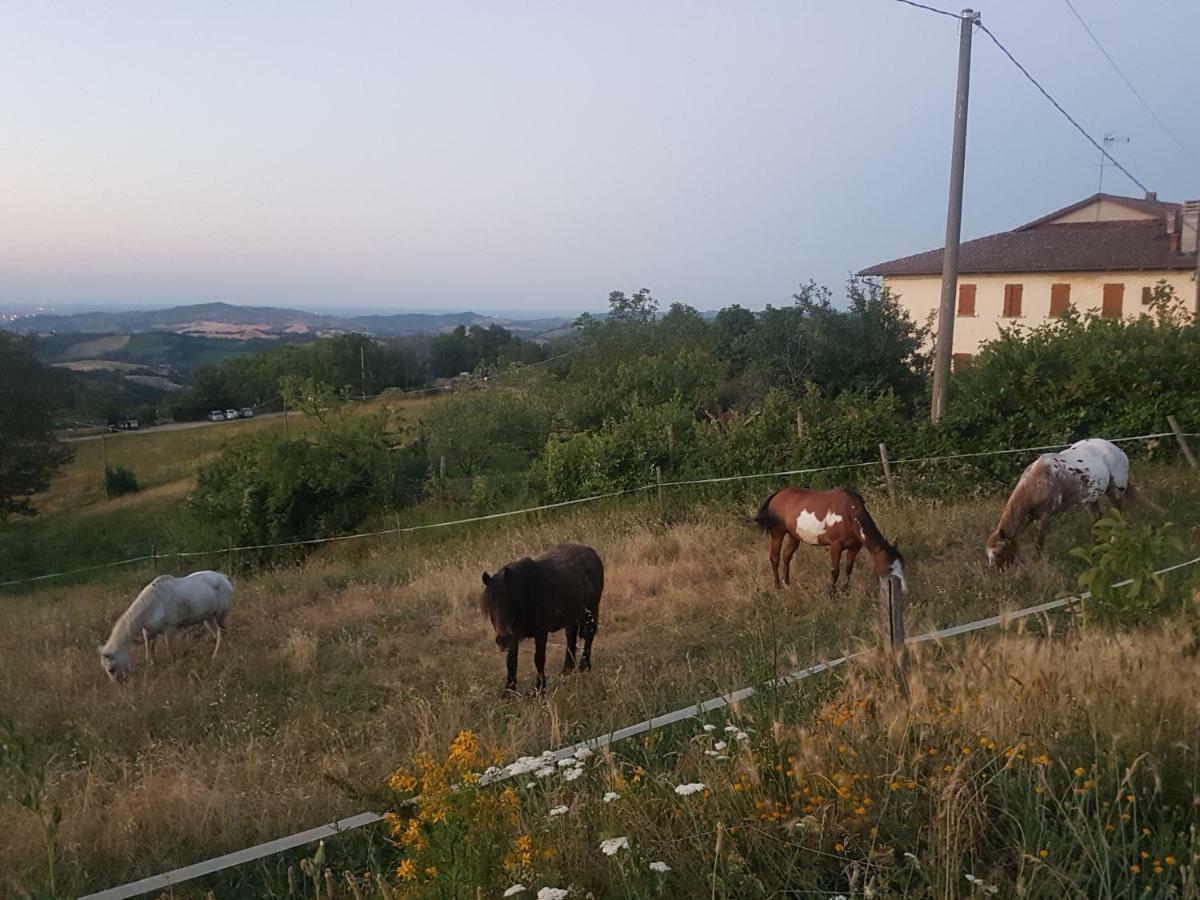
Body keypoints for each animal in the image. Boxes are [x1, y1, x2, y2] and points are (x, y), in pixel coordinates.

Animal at [99, 571, 232, 681]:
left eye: (111, 669)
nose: (119, 683)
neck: (154, 604)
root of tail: (223, 577)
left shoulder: (169, 630)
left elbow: (171, 652)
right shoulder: (148, 633)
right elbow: (149, 655)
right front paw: (150, 671)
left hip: (220, 616)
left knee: (221, 634)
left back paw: (216, 656)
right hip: (209, 618)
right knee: (217, 635)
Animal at [480, 542, 604, 696]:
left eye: (510, 602)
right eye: (490, 605)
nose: (502, 640)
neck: (529, 594)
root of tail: (591, 552)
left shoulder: (540, 633)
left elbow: (538, 659)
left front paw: (540, 689)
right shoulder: (513, 636)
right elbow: (511, 662)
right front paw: (509, 692)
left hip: (590, 610)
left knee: (589, 634)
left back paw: (584, 666)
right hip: (571, 616)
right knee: (571, 638)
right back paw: (567, 670)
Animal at [753, 489, 902, 595]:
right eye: (889, 568)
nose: (899, 589)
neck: (849, 513)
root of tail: (777, 495)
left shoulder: (855, 547)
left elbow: (848, 568)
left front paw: (846, 591)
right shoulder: (836, 545)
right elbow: (835, 570)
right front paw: (832, 593)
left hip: (794, 536)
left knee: (786, 556)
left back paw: (787, 583)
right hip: (777, 532)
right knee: (775, 557)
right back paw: (778, 587)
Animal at [984, 436, 1161, 571]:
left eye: (998, 553)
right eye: (989, 555)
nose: (999, 572)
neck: (1038, 482)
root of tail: (1116, 448)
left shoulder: (1045, 516)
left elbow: (1039, 543)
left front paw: (1040, 565)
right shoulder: (1029, 516)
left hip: (1115, 491)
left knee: (1119, 515)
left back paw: (1114, 542)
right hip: (1093, 497)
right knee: (1097, 520)